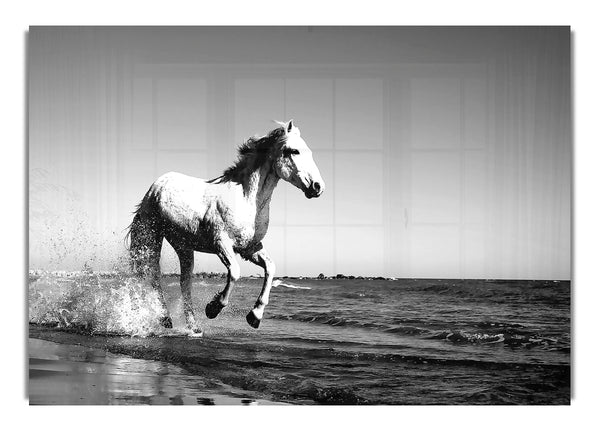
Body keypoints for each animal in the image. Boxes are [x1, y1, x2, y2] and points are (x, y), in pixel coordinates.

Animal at [126, 120, 324, 336]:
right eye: (293, 151)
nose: (318, 187)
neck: (246, 199)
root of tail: (156, 186)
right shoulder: (221, 243)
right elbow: (235, 272)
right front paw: (214, 308)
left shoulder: (250, 248)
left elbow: (270, 268)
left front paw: (255, 316)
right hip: (152, 238)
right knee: (153, 275)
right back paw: (164, 318)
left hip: (184, 247)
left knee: (184, 283)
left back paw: (193, 326)